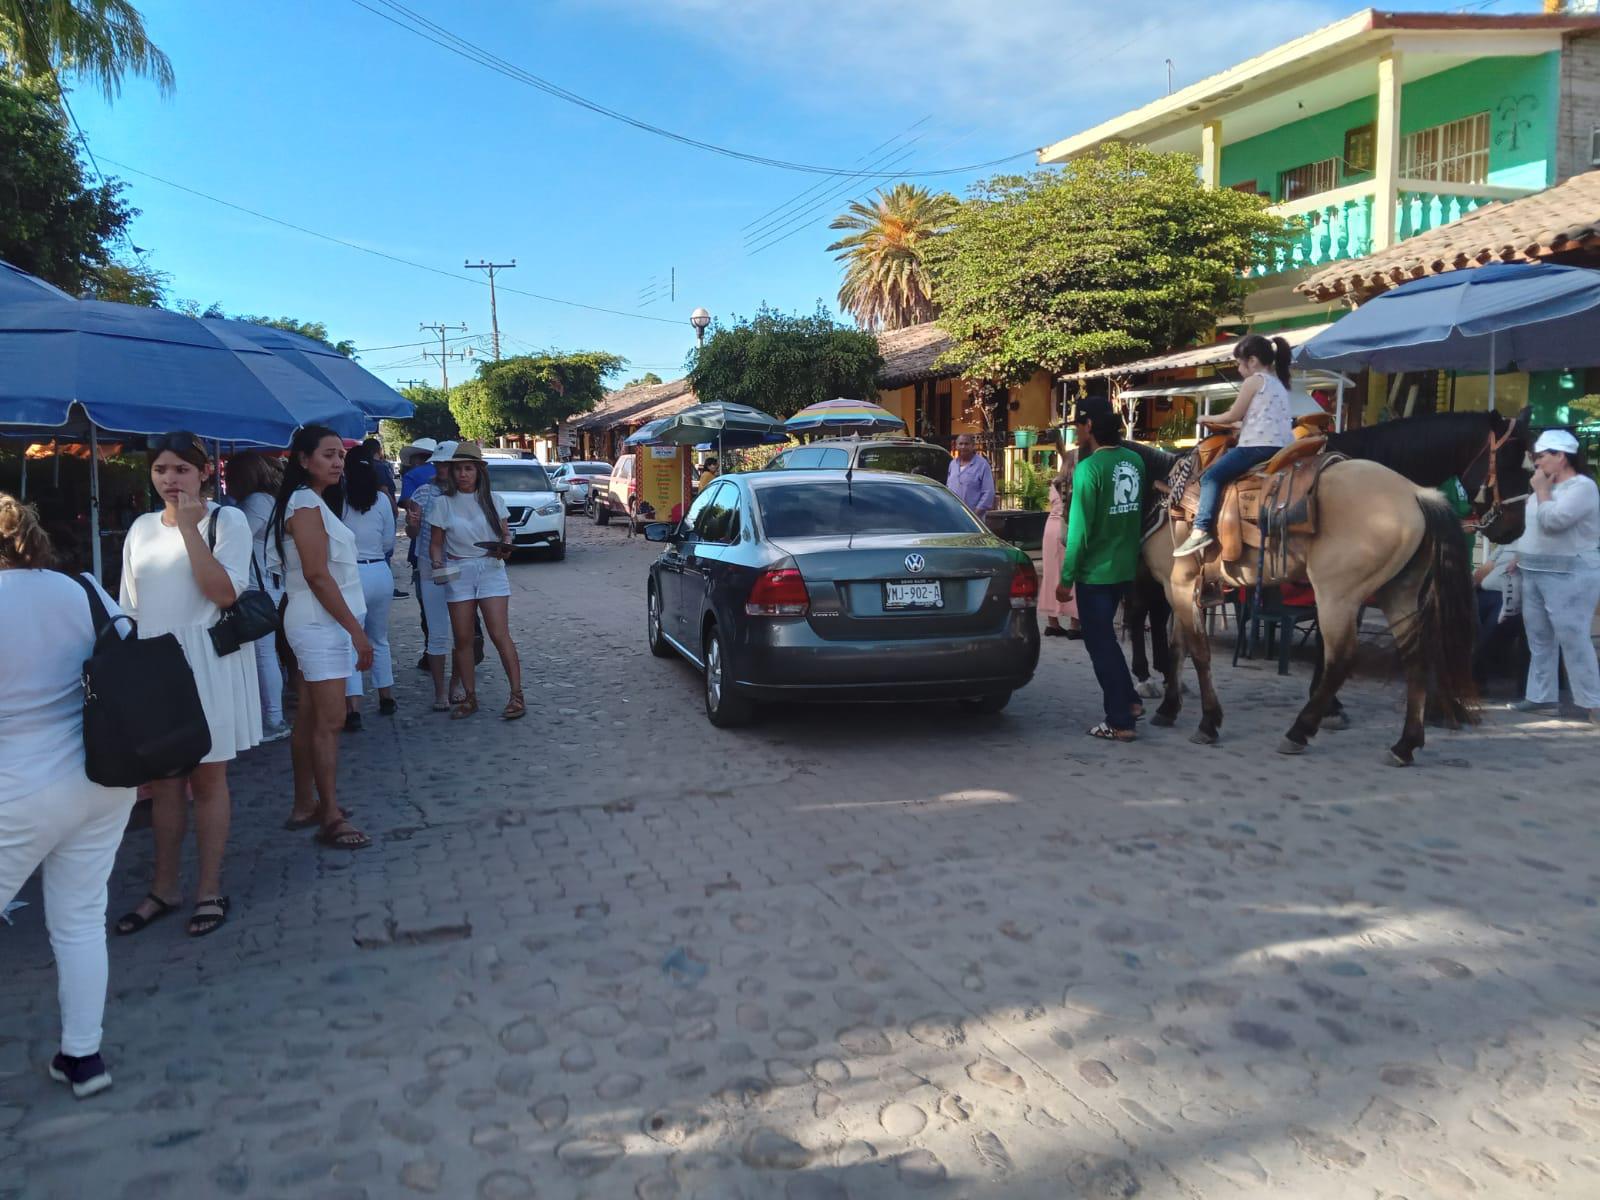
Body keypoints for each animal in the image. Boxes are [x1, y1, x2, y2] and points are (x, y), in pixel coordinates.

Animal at [1152, 460, 1472, 771]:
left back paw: (1299, 732)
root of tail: (1416, 493)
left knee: (1341, 660)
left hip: (1336, 596)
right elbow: (1178, 648)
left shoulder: (1181, 584)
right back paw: (1404, 745)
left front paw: (1208, 722)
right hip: (1398, 594)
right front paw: (1168, 708)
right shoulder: (1177, 588)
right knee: (1415, 659)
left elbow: (1198, 653)